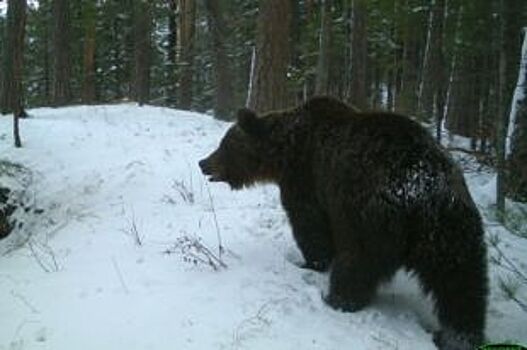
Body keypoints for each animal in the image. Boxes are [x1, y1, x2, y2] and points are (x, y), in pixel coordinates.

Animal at [200, 96, 488, 350]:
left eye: (224, 144)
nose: (203, 163)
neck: (285, 151)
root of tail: (424, 190)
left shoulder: (307, 180)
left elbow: (310, 227)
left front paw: (310, 263)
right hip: (452, 229)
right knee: (461, 283)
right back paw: (458, 337)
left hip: (369, 215)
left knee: (357, 259)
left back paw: (338, 298)